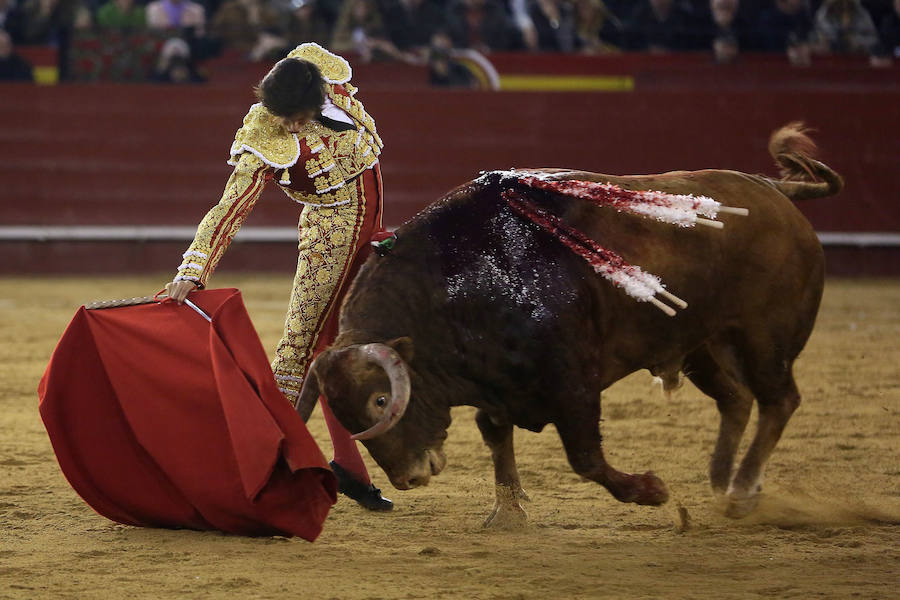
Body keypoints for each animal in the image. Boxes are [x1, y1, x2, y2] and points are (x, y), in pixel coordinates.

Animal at [296, 123, 844, 524]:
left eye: (380, 401)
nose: (408, 479)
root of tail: (772, 189)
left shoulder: (572, 380)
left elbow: (585, 456)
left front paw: (651, 490)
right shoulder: (496, 383)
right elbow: (496, 437)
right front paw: (508, 514)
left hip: (765, 337)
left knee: (779, 400)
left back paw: (742, 490)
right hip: (702, 344)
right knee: (737, 399)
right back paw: (721, 478)